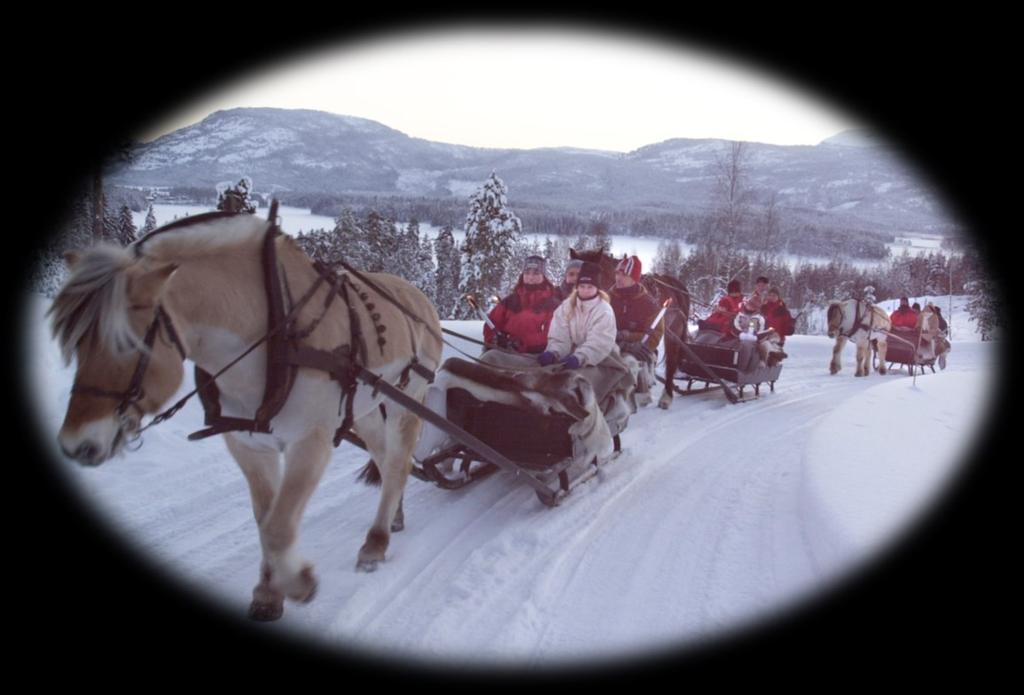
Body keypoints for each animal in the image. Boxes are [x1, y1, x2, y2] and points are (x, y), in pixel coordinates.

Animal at [48, 209, 442, 622]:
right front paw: (269, 592)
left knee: (397, 462)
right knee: (384, 457)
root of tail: (420, 299)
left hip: (406, 400)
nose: (75, 445)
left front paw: (299, 582)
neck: (273, 332)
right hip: (364, 408)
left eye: (126, 343)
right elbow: (265, 518)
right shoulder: (249, 443)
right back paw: (393, 517)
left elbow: (278, 527)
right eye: (77, 341)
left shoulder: (311, 440)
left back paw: (375, 543)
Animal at [565, 247, 692, 407]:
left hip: (674, 331)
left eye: (587, 272)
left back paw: (666, 396)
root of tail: (677, 285)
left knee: (671, 360)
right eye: (569, 274)